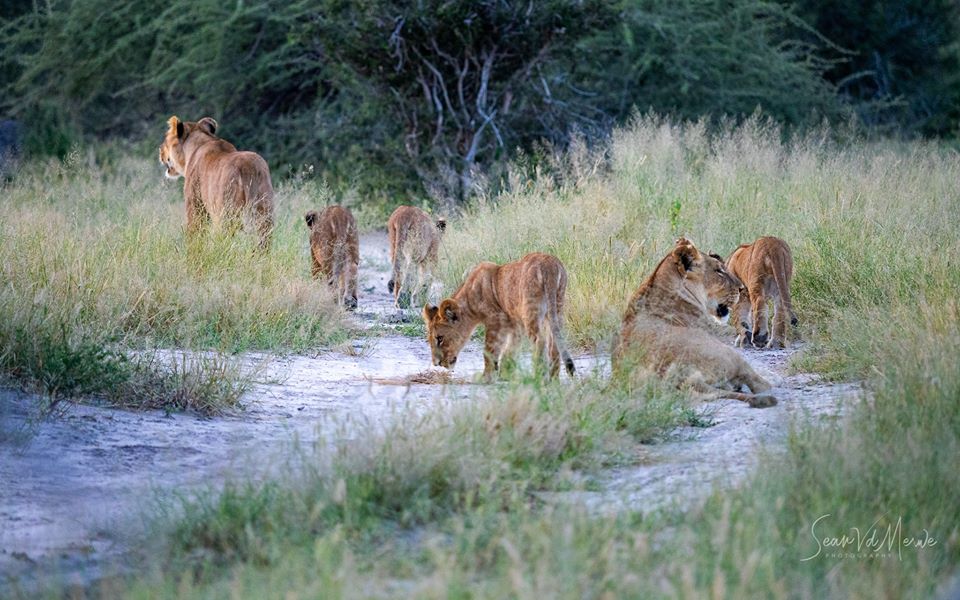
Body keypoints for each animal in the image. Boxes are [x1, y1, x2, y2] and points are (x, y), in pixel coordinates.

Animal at [158, 116, 274, 250]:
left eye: (166, 140)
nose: (160, 150)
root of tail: (248, 167)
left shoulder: (195, 204)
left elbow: (195, 232)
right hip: (264, 213)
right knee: (263, 242)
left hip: (226, 214)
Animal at [422, 252, 575, 379]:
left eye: (440, 339)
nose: (437, 363)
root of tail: (549, 265)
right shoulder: (515, 324)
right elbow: (510, 349)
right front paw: (504, 373)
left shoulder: (496, 319)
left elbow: (489, 350)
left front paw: (485, 377)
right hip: (557, 308)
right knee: (554, 343)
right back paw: (553, 380)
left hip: (531, 311)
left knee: (541, 341)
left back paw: (539, 376)